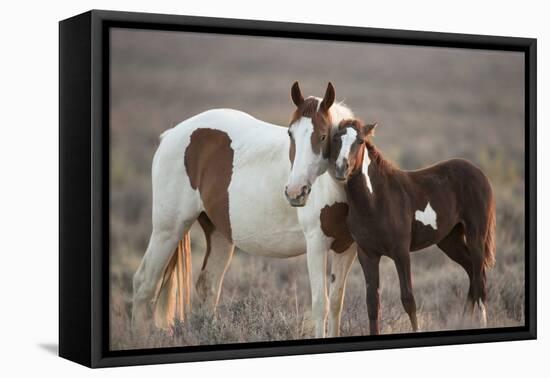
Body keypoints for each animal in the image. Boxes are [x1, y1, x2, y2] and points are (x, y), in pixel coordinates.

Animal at [134, 82, 358, 336]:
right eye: (290, 134)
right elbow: (321, 304)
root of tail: (171, 135)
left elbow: (336, 304)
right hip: (168, 230)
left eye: (323, 136)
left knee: (208, 287)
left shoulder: (346, 248)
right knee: (144, 284)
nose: (295, 192)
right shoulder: (316, 244)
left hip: (219, 234)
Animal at [330, 119, 502, 334]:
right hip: (450, 241)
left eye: (360, 141)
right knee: (472, 272)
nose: (341, 168)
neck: (376, 200)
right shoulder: (367, 255)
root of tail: (479, 173)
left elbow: (408, 299)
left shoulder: (401, 252)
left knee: (480, 282)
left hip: (476, 236)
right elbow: (372, 303)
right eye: (337, 138)